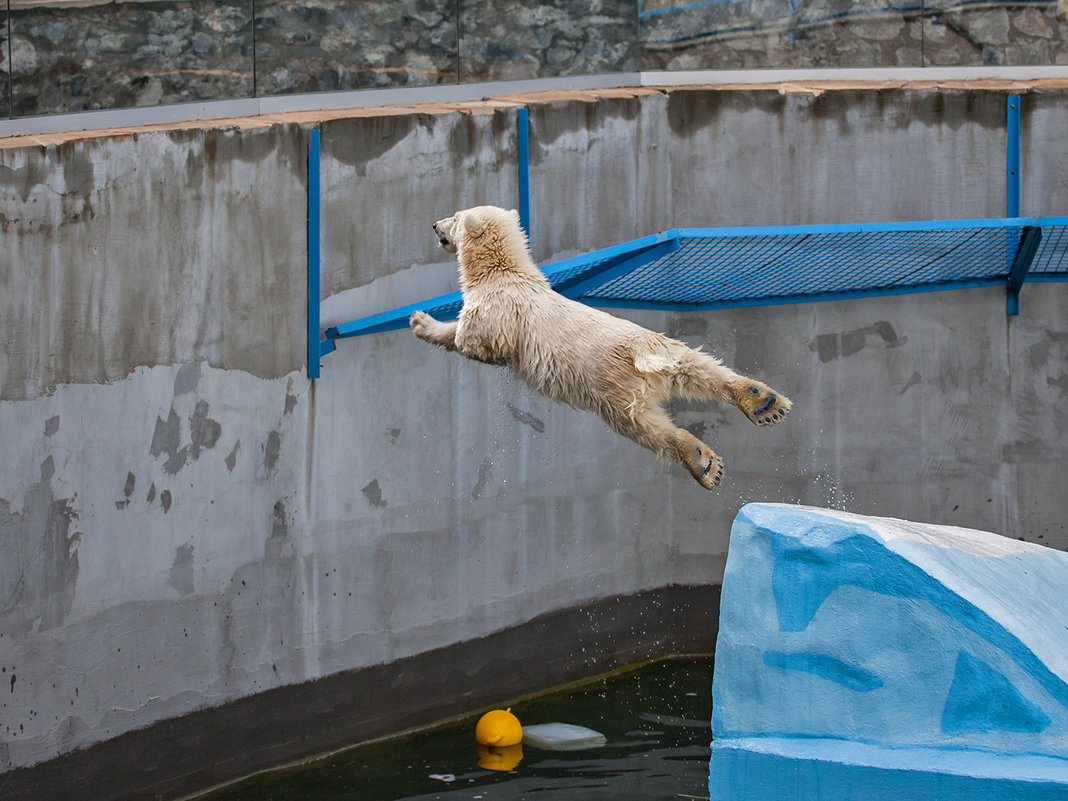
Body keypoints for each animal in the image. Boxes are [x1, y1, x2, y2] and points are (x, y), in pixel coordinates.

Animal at [410, 205, 794, 489]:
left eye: (455, 216)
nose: (434, 224)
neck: (504, 270)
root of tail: (640, 355)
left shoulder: (497, 310)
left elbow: (471, 340)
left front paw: (423, 323)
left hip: (609, 385)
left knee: (641, 425)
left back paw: (699, 457)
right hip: (661, 346)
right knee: (696, 367)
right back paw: (761, 401)